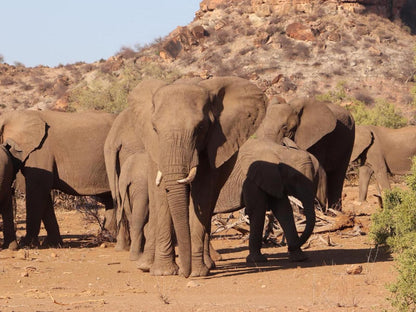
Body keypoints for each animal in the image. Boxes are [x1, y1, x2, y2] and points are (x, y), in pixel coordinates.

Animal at [0, 109, 116, 246]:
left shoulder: (39, 151)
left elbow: (37, 189)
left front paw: (27, 244)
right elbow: (43, 194)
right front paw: (52, 244)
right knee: (110, 198)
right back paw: (107, 238)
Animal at [128, 77, 266, 276]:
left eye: (200, 128)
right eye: (154, 128)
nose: (184, 273)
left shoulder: (213, 145)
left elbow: (202, 194)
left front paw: (197, 273)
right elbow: (162, 196)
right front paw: (163, 273)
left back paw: (208, 264)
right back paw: (146, 266)